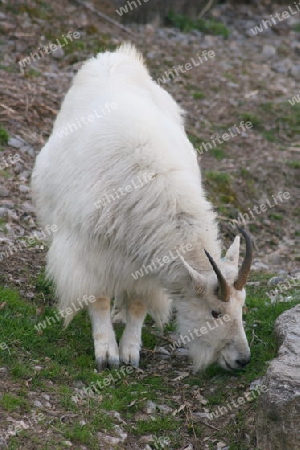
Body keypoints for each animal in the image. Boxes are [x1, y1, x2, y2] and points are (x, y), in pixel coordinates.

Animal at [31, 42, 253, 372]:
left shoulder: (146, 268)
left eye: (242, 307)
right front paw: (107, 353)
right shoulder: (87, 254)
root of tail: (118, 56)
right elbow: (98, 298)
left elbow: (138, 303)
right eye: (215, 312)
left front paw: (130, 351)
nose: (241, 359)